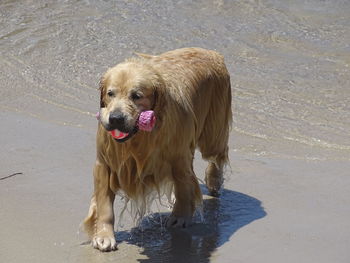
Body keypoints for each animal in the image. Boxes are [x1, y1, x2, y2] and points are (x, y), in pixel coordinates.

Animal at [82, 47, 232, 252]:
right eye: (110, 93)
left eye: (136, 96)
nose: (116, 118)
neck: (139, 139)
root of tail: (212, 52)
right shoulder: (104, 162)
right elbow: (104, 202)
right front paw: (104, 236)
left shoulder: (179, 157)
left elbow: (185, 186)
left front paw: (180, 217)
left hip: (213, 130)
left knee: (217, 155)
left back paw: (214, 181)